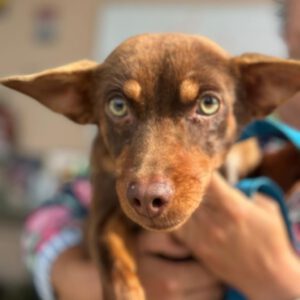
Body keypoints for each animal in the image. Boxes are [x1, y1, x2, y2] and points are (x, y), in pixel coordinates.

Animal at [1, 34, 300, 298]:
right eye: (118, 106)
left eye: (208, 104)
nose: (146, 198)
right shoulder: (102, 212)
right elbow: (111, 255)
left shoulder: (260, 174)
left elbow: (288, 156)